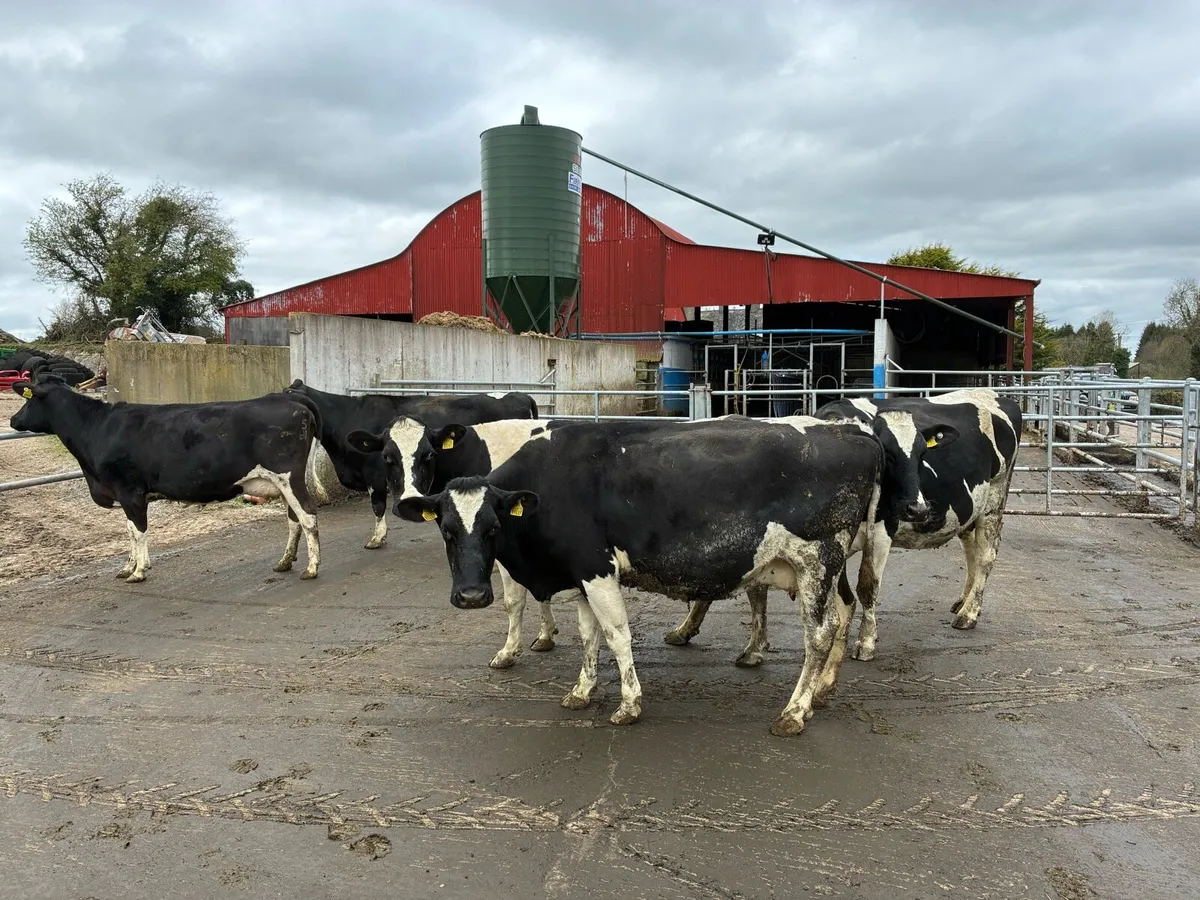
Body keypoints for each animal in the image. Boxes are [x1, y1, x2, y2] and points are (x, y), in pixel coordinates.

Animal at [10, 374, 321, 582]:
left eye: (27, 401)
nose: (13, 420)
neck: (96, 428)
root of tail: (288, 397)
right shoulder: (126, 494)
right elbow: (129, 530)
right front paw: (128, 566)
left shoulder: (129, 490)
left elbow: (138, 530)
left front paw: (138, 571)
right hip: (283, 482)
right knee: (294, 519)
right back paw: (284, 562)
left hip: (288, 476)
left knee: (307, 515)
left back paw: (312, 567)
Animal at [394, 417, 886, 735]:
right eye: (446, 530)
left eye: (493, 528)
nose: (471, 596)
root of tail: (852, 432)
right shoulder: (580, 574)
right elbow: (589, 635)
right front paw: (583, 690)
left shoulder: (597, 568)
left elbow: (616, 634)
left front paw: (629, 704)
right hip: (829, 565)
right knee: (845, 610)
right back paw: (822, 691)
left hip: (816, 558)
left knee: (819, 632)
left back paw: (794, 712)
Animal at [665, 388, 1020, 663]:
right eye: (888, 454)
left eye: (922, 454)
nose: (917, 507)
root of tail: (998, 395)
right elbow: (755, 590)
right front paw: (688, 630)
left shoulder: (881, 529)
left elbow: (867, 586)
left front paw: (865, 642)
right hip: (970, 512)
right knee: (972, 550)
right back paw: (963, 600)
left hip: (994, 501)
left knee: (986, 556)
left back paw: (969, 614)